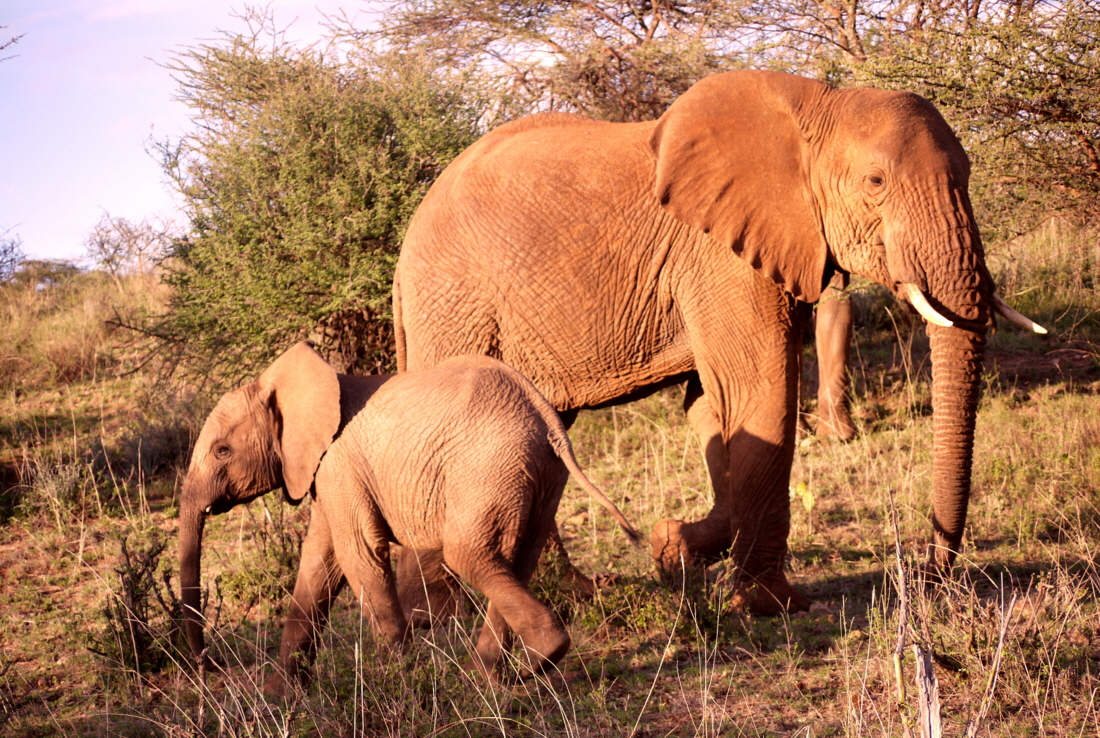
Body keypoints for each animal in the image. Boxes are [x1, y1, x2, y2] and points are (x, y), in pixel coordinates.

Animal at [176, 343, 642, 695]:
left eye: (222, 451)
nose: (209, 665)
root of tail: (545, 414)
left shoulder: (339, 466)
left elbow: (359, 555)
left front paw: (396, 685)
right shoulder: (325, 472)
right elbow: (318, 565)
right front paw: (279, 697)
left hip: (489, 467)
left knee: (468, 554)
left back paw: (533, 662)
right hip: (537, 475)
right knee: (516, 559)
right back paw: (488, 679)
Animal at [393, 69, 1038, 615]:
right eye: (875, 183)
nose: (929, 575)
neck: (817, 103)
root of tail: (403, 255)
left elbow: (712, 403)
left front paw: (673, 548)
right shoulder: (717, 257)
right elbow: (761, 389)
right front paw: (772, 605)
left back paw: (573, 593)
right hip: (455, 308)